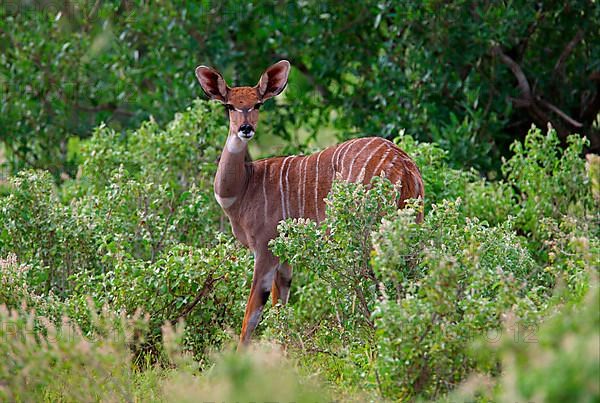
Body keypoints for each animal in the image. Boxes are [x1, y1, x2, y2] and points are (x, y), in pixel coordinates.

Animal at [195, 60, 424, 350]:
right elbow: (280, 303)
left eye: (258, 104)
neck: (244, 188)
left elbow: (252, 312)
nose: (245, 128)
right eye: (229, 106)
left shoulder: (265, 248)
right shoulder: (284, 256)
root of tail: (404, 166)